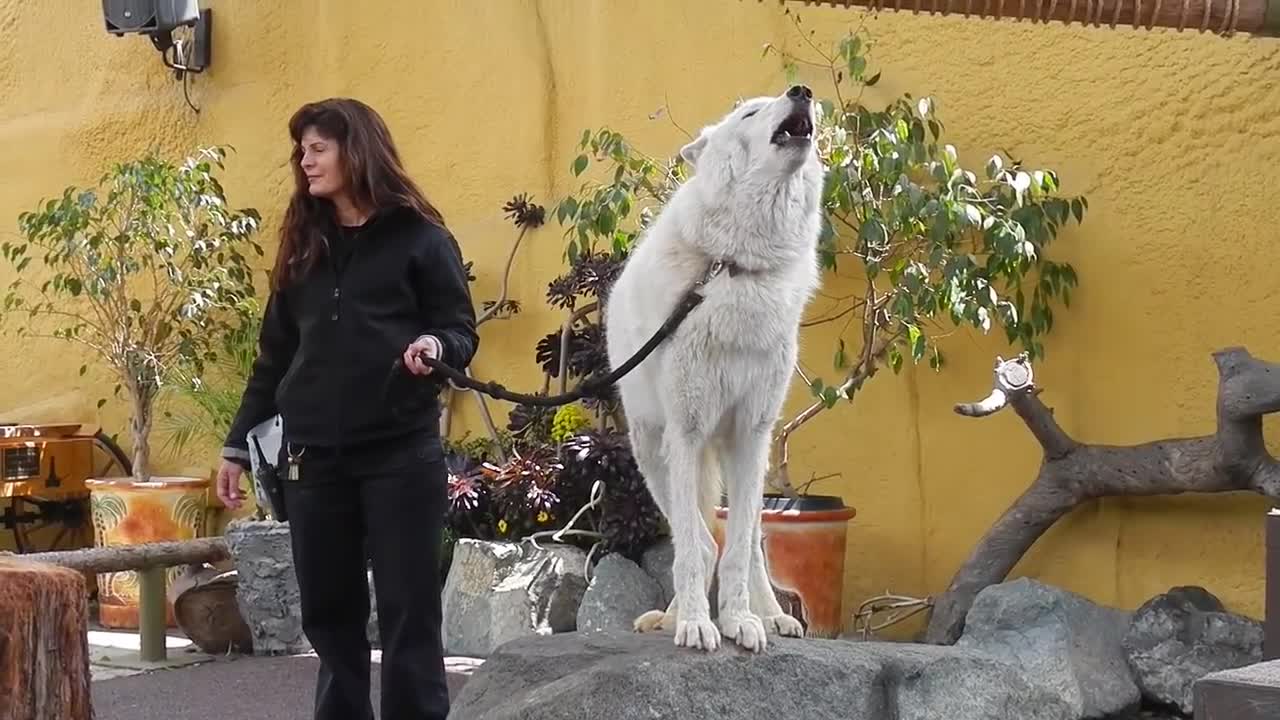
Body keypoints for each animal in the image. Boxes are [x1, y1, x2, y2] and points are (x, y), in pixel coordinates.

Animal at [601, 83, 824, 650]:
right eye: (750, 113)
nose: (803, 91)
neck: (738, 267)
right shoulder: (687, 430)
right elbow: (694, 546)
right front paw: (697, 624)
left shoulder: (750, 435)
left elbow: (741, 547)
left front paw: (743, 622)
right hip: (654, 452)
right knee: (697, 538)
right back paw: (673, 615)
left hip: (744, 459)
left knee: (751, 544)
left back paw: (774, 616)